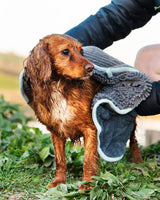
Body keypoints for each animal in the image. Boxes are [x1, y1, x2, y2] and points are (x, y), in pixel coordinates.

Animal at [20, 33, 142, 190]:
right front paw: (58, 181)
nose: (91, 67)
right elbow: (60, 160)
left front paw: (87, 185)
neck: (60, 88)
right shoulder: (56, 132)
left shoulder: (91, 129)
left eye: (81, 51)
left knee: (133, 141)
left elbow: (88, 160)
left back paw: (138, 162)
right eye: (65, 51)